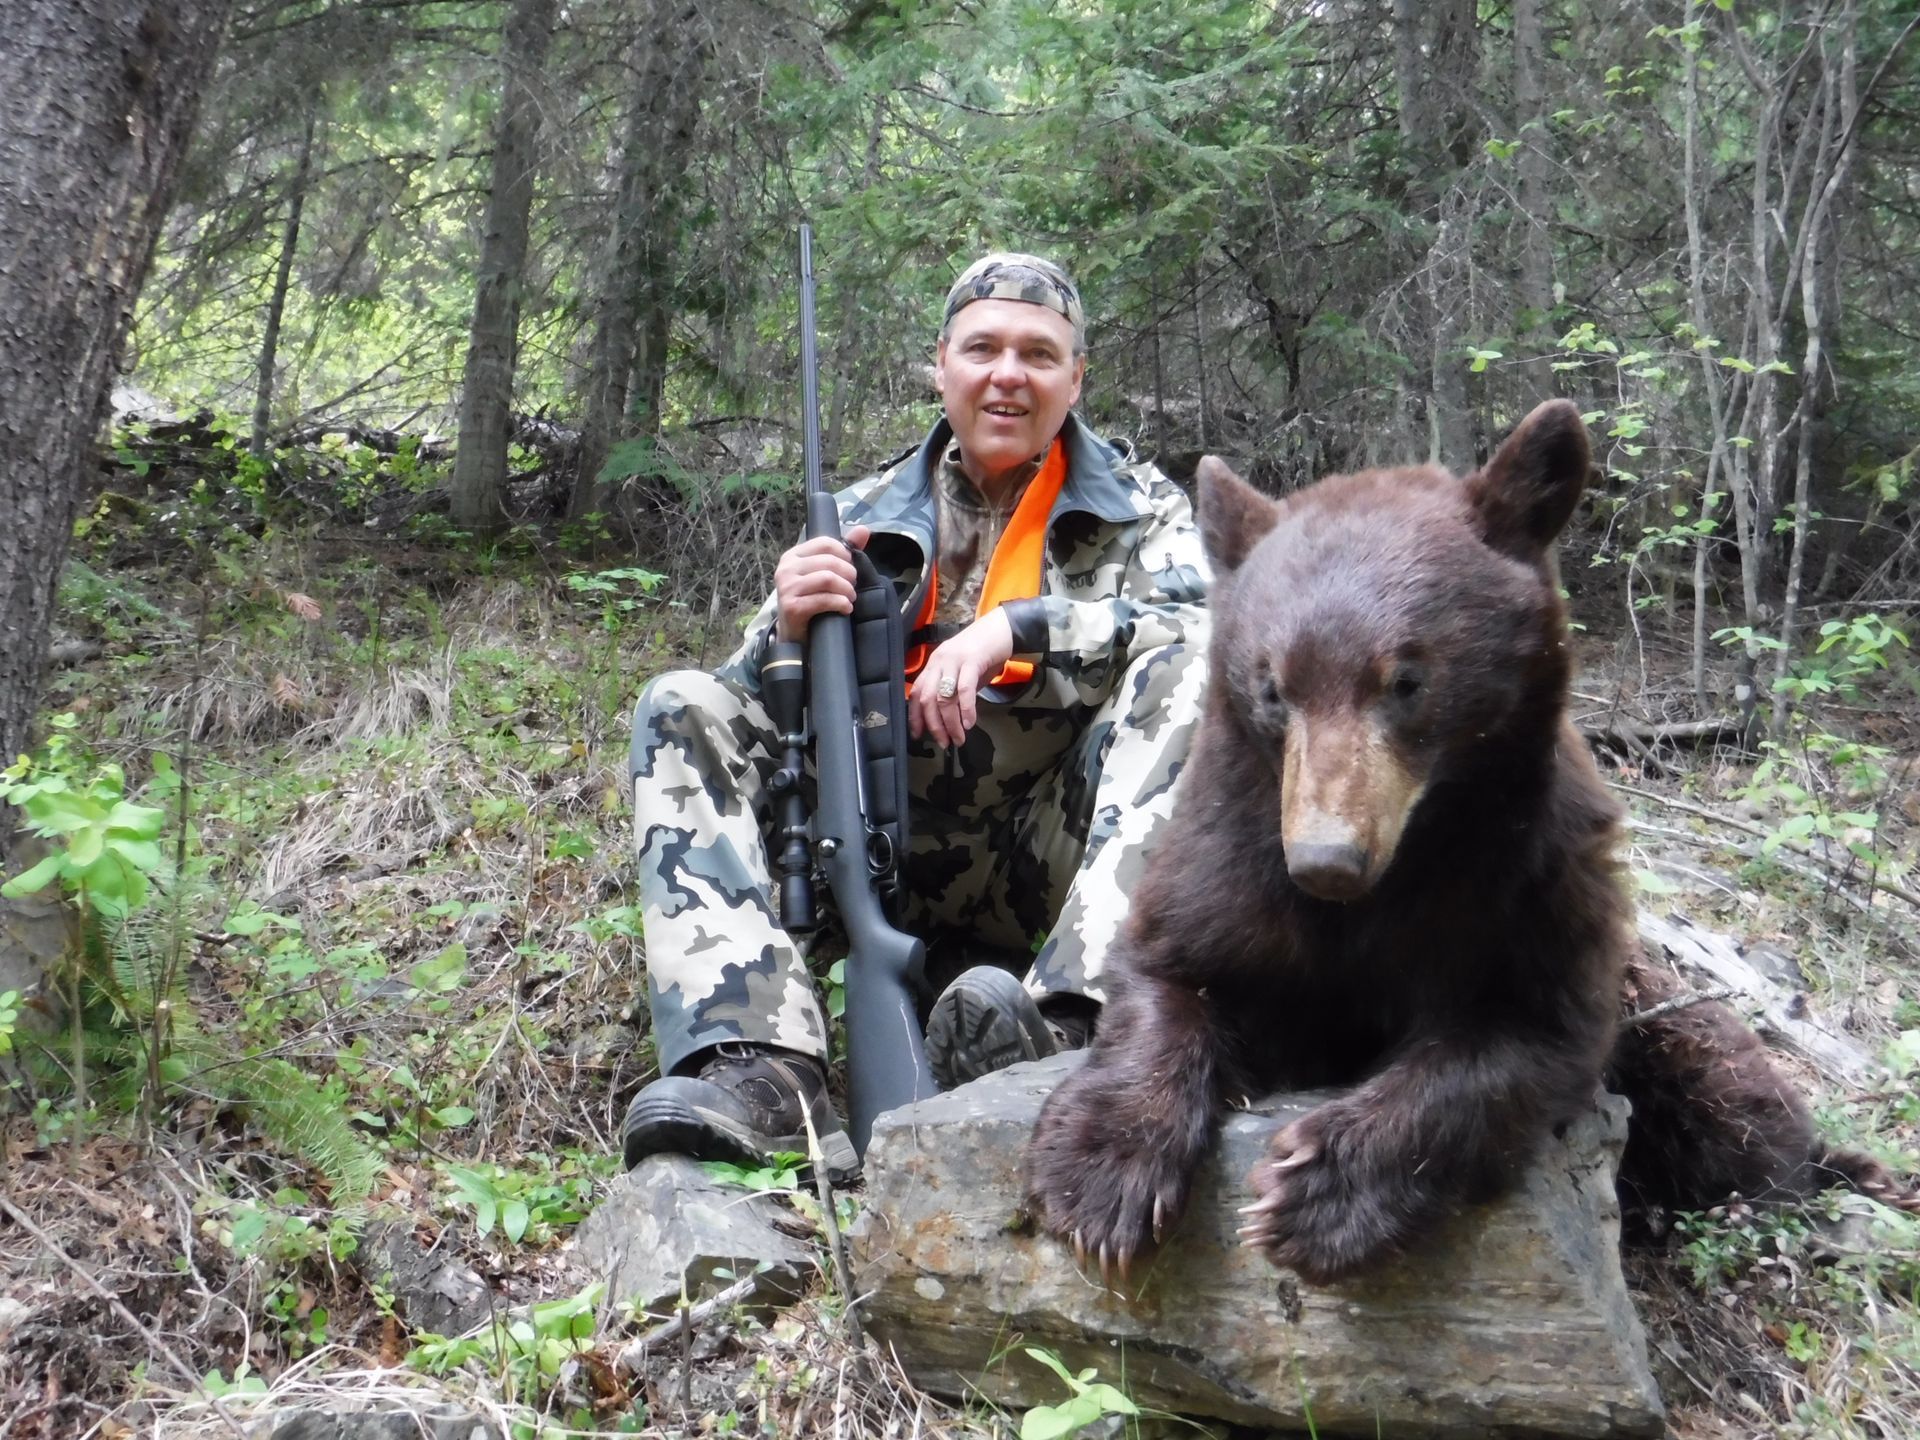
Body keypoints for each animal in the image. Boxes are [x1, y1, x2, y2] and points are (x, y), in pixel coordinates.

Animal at [1024, 398, 1909, 1288]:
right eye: (1273, 686)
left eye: (1407, 680)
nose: (1327, 862)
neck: (1402, 866)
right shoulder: (1230, 845)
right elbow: (1164, 967)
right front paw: (1103, 1174)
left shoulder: (1530, 879)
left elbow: (1520, 1042)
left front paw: (1318, 1192)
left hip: (1669, 1015)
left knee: (1734, 1105)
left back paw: (1822, 1183)